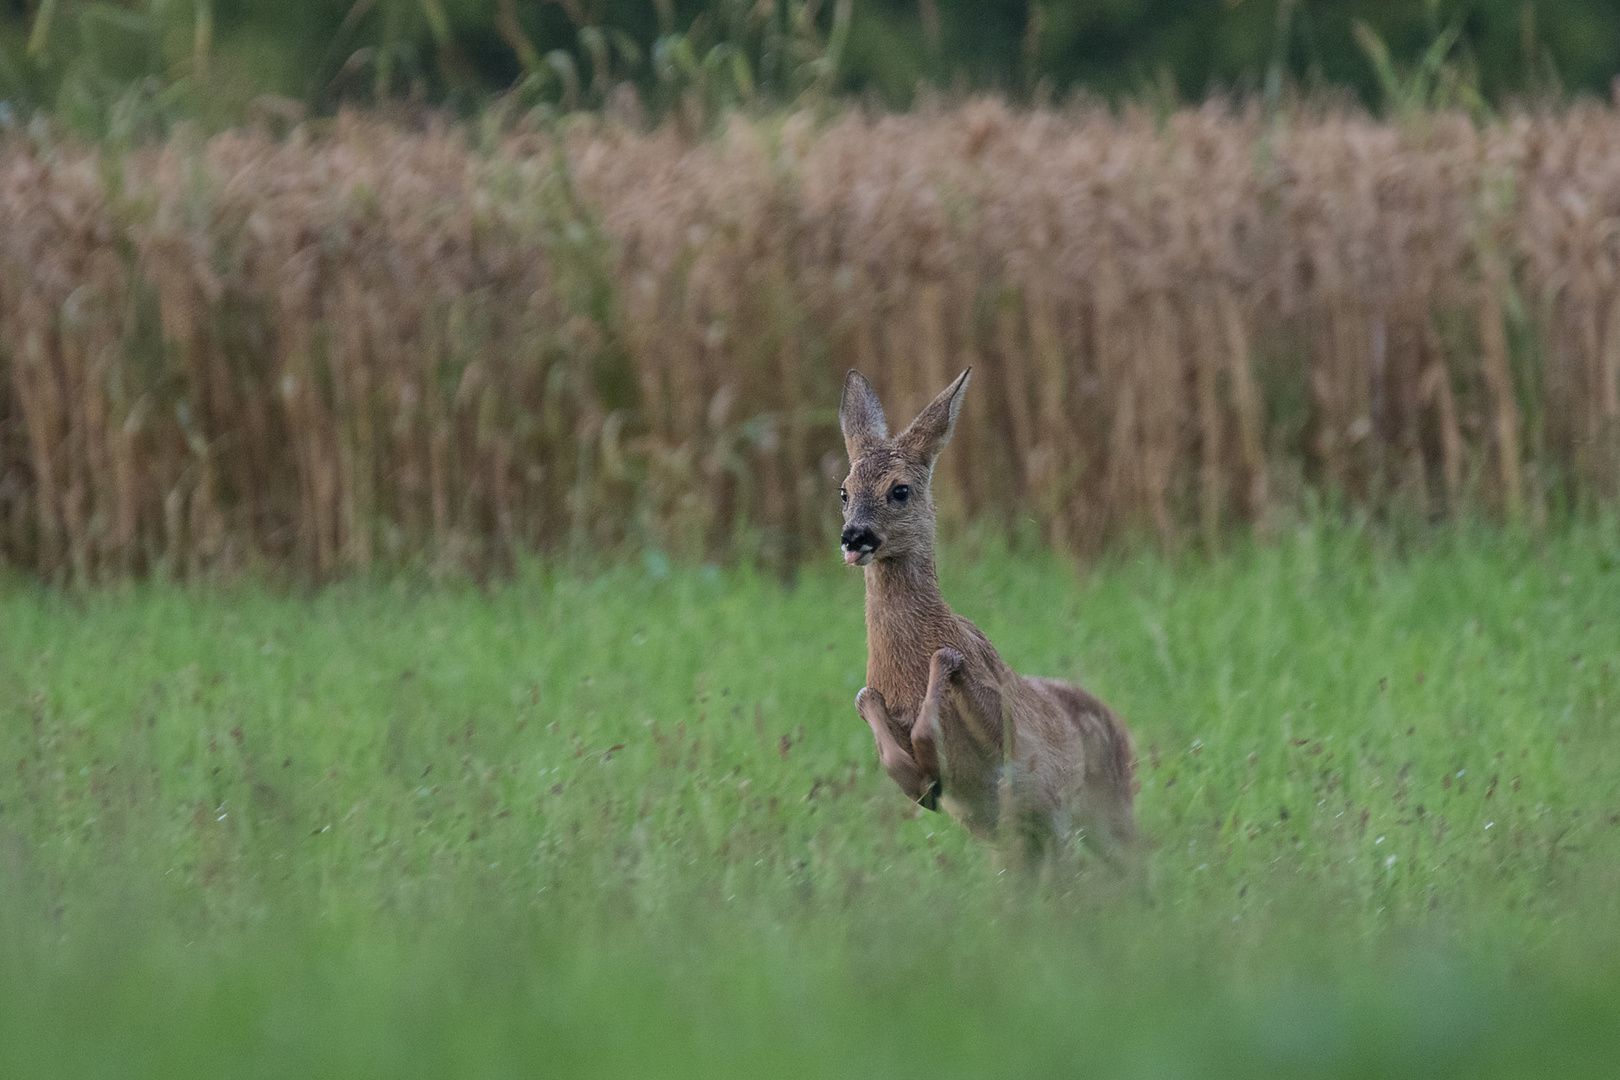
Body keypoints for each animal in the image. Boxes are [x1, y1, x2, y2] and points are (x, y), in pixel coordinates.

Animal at [835, 369, 1140, 861]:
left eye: (900, 491)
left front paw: (930, 763)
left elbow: (942, 687)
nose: (854, 536)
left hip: (1100, 812)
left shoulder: (1002, 721)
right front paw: (923, 786)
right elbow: (868, 704)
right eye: (844, 492)